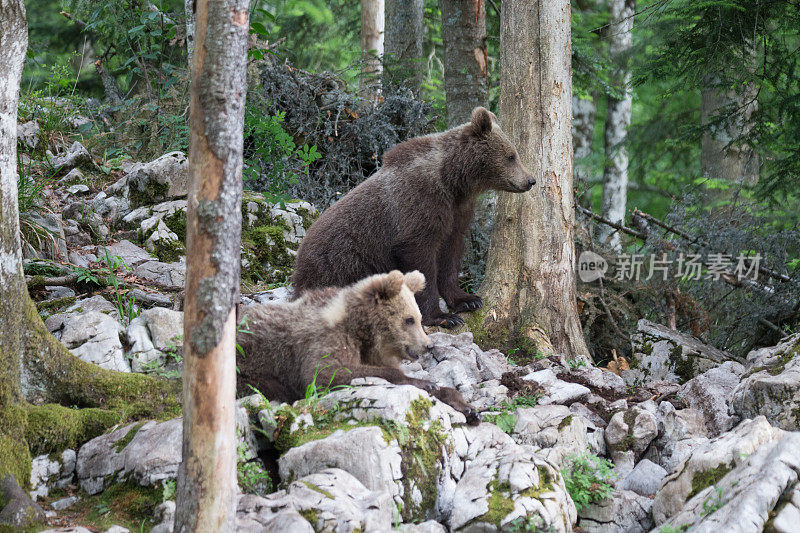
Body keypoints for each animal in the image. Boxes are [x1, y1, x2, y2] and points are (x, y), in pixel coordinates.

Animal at [234, 270, 478, 424]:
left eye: (418, 318)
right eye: (409, 319)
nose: (428, 345)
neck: (364, 331)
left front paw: (467, 407)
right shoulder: (326, 339)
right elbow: (326, 374)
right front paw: (426, 383)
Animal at [290, 106, 536, 326]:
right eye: (511, 156)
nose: (530, 180)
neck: (453, 180)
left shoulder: (456, 212)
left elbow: (451, 254)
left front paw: (467, 300)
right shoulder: (419, 204)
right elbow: (420, 258)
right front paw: (442, 317)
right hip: (342, 262)